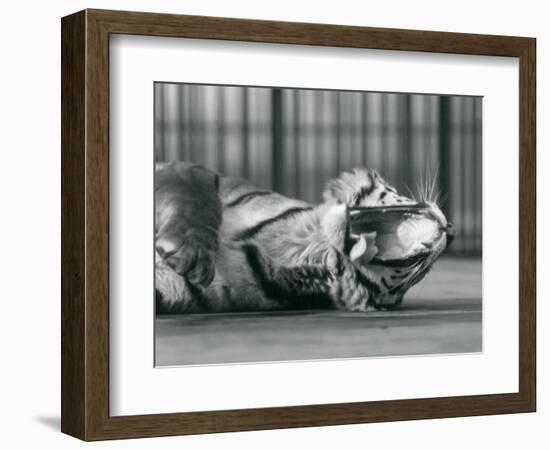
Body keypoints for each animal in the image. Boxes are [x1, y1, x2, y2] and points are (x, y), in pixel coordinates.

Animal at [154, 162, 452, 312]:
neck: (307, 244)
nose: (451, 230)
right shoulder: (187, 171)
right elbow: (197, 200)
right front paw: (189, 252)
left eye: (424, 272)